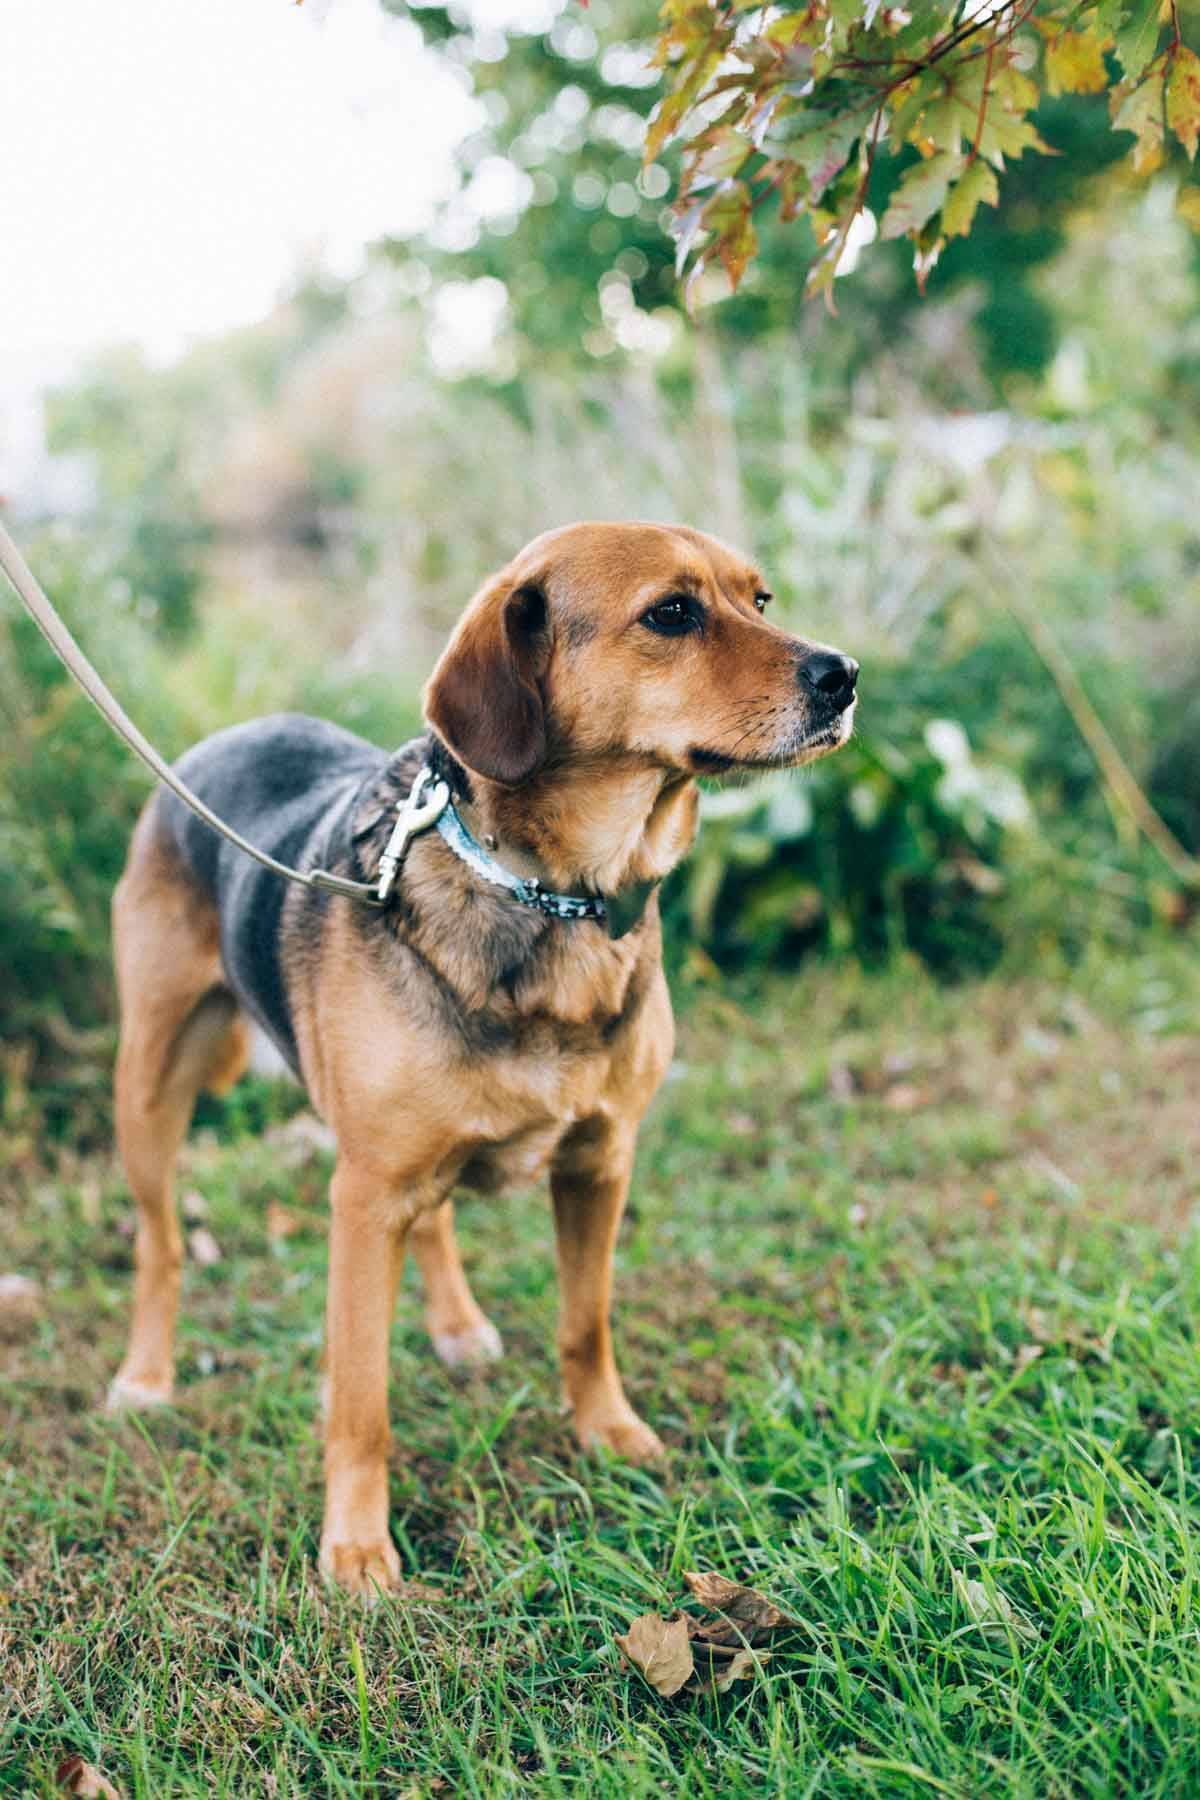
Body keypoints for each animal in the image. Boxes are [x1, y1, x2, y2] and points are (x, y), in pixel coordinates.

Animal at [107, 518, 859, 1591]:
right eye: (672, 613)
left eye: (758, 600)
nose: (846, 675)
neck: (554, 895)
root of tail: (231, 734)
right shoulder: (362, 1196)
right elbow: (361, 1401)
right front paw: (356, 1546)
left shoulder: (598, 1163)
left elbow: (585, 1324)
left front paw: (607, 1433)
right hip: (151, 1087)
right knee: (162, 1243)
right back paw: (146, 1373)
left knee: (434, 1220)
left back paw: (457, 1326)